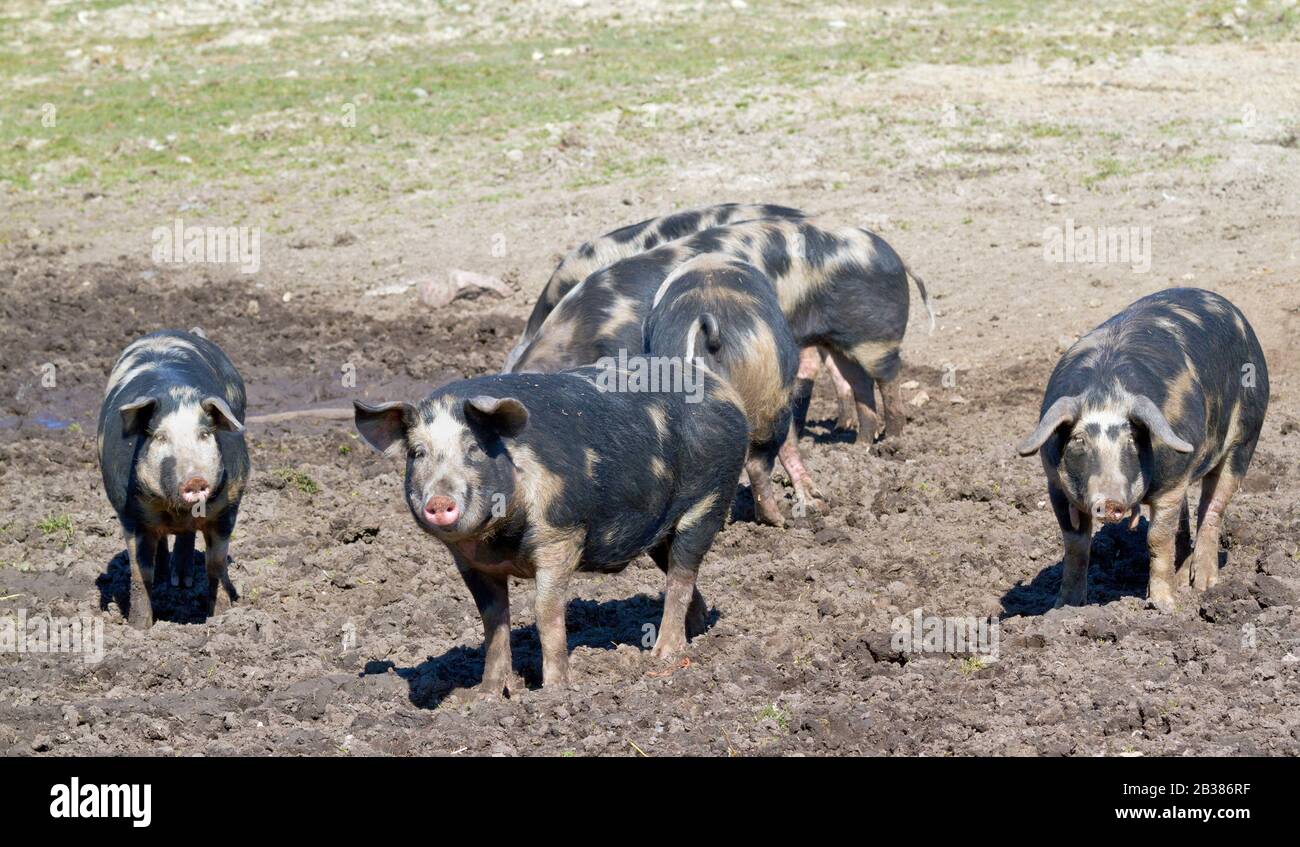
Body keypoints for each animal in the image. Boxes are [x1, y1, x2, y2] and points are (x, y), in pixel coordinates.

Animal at [97, 329, 249, 627]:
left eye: (204, 434)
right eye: (160, 437)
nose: (194, 480)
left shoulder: (229, 506)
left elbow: (216, 564)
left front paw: (220, 617)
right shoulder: (129, 514)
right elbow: (139, 572)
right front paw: (139, 628)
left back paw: (182, 581)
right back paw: (165, 578)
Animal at [353, 366, 749, 693]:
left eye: (474, 448)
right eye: (417, 453)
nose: (439, 500)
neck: (498, 542)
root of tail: (726, 390)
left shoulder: (562, 535)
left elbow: (545, 611)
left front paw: (554, 691)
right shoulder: (469, 562)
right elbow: (493, 621)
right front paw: (486, 697)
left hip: (709, 499)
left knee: (682, 574)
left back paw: (664, 654)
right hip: (661, 531)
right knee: (678, 575)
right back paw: (697, 630)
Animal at [1017, 288, 1268, 612]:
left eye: (1132, 439)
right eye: (1079, 440)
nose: (1109, 501)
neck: (1106, 393)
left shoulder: (1173, 482)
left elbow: (1157, 539)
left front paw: (1165, 606)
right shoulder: (1055, 485)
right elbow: (1075, 545)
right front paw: (1065, 608)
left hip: (1246, 437)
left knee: (1212, 508)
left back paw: (1202, 586)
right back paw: (1183, 579)